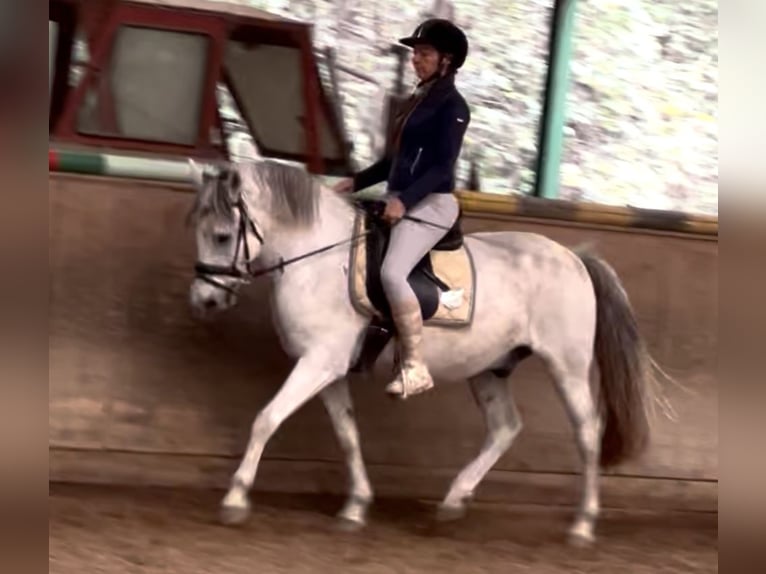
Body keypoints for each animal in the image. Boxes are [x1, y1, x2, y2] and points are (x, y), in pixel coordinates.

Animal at [185, 157, 666, 546]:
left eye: (223, 236)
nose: (204, 301)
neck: (317, 258)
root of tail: (574, 257)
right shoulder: (327, 368)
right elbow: (347, 434)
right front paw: (355, 507)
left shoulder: (319, 362)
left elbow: (266, 419)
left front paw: (235, 498)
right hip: (489, 368)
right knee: (505, 427)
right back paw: (453, 502)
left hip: (566, 364)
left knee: (587, 432)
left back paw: (582, 526)